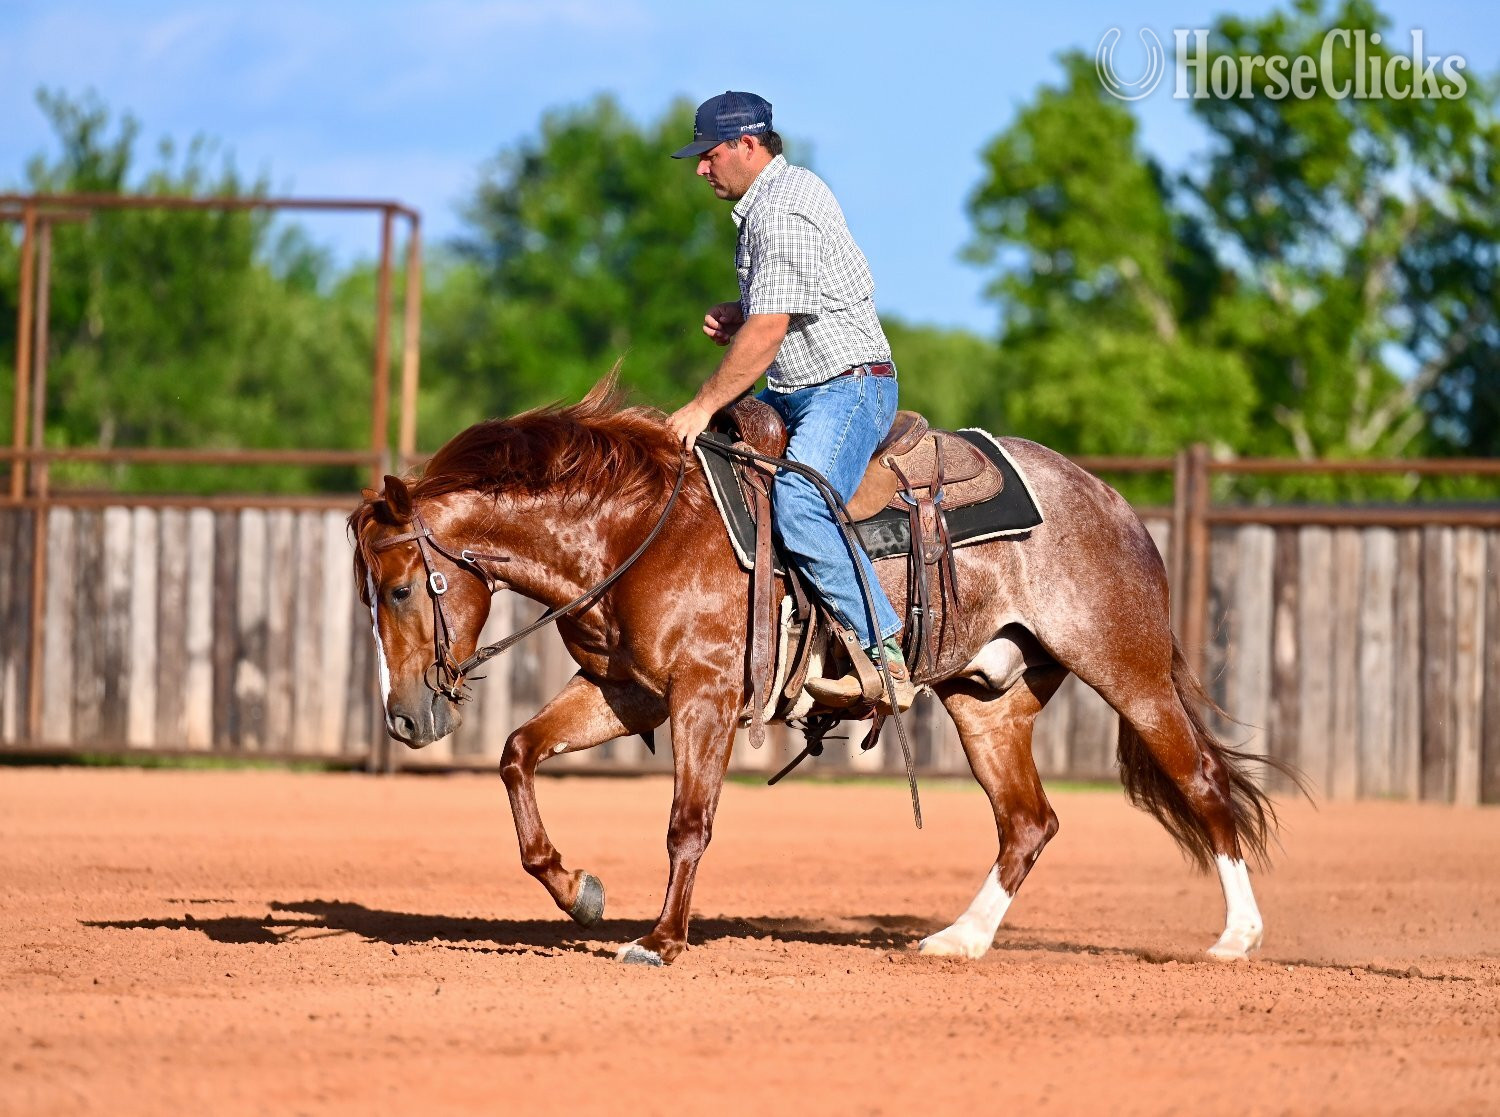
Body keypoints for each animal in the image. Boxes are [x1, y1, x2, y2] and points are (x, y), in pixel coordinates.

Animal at [349, 373, 1289, 967]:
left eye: (399, 587)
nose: (405, 718)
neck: (636, 529)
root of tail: (1113, 501)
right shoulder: (627, 692)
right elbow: (518, 752)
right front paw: (575, 888)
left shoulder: (704, 695)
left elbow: (688, 822)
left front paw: (660, 940)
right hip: (988, 698)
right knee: (1029, 821)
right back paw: (961, 939)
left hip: (1128, 670)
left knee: (1202, 782)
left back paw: (1237, 938)